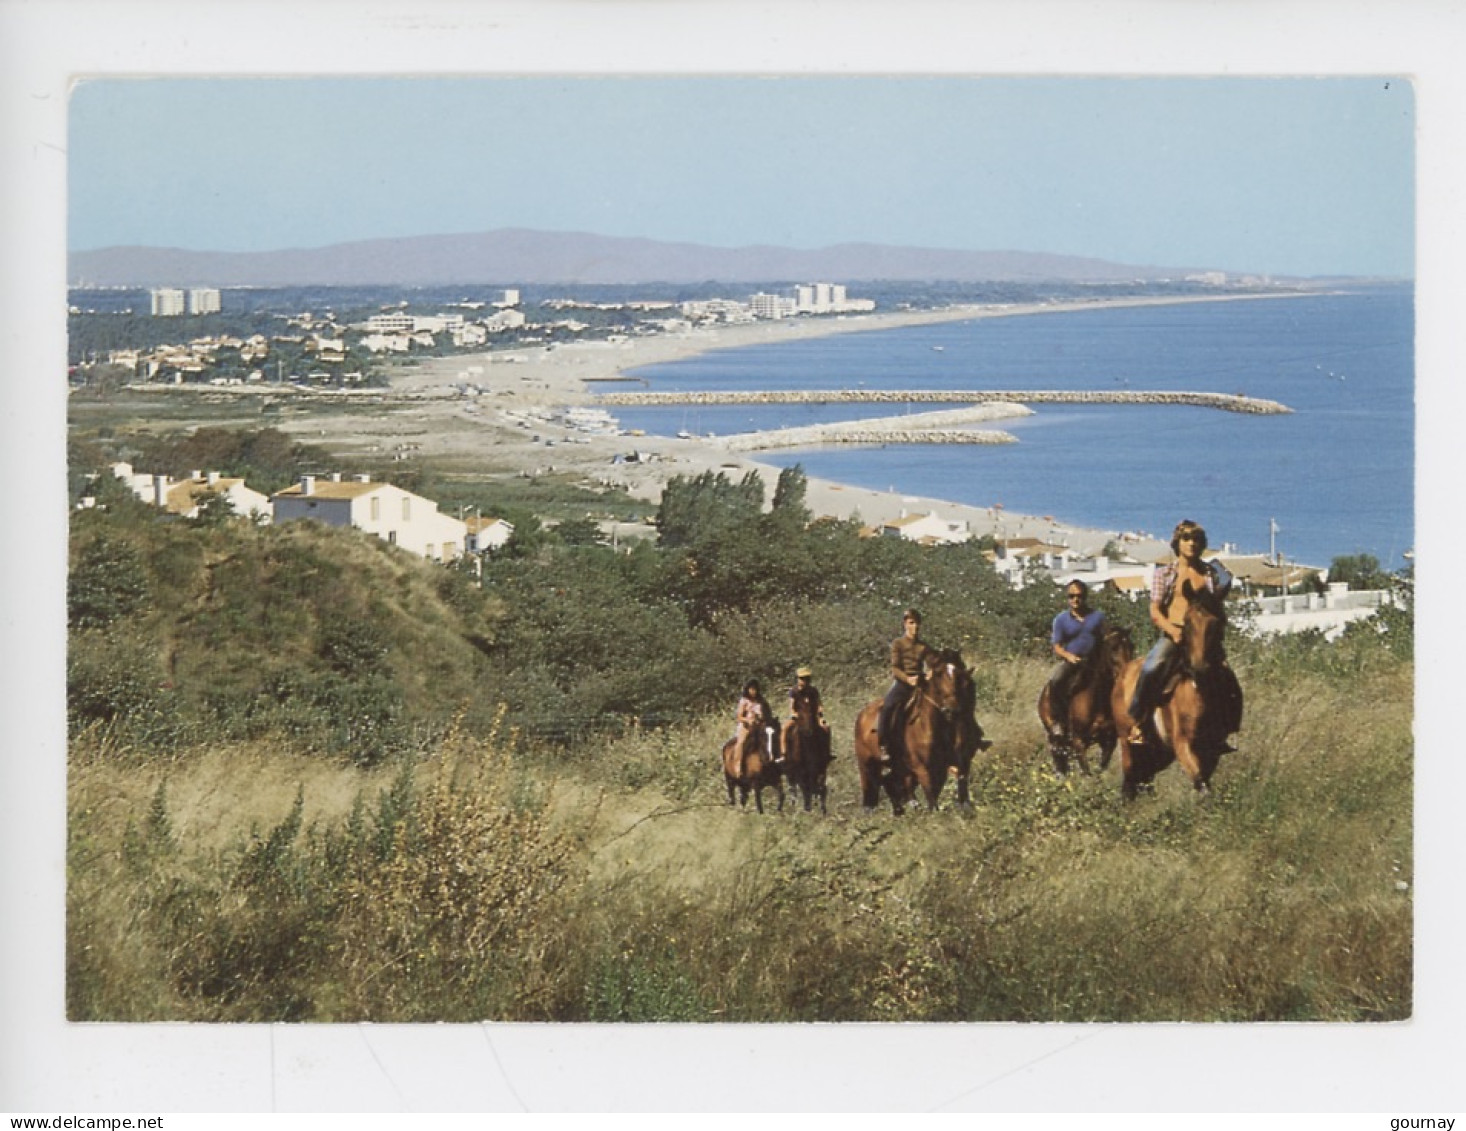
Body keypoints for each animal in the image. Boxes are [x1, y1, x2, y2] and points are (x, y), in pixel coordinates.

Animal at [850, 651, 985, 815]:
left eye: (962, 677)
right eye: (938, 675)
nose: (952, 710)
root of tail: (862, 715)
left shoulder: (953, 765)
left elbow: (959, 792)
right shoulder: (923, 770)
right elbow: (933, 801)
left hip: (900, 767)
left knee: (891, 783)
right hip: (866, 764)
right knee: (870, 788)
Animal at [1032, 624, 1131, 780]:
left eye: (1131, 646)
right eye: (1114, 648)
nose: (1127, 675)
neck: (1098, 701)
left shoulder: (1109, 741)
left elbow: (1099, 769)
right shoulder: (1078, 741)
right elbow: (1086, 772)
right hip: (1055, 735)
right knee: (1059, 760)